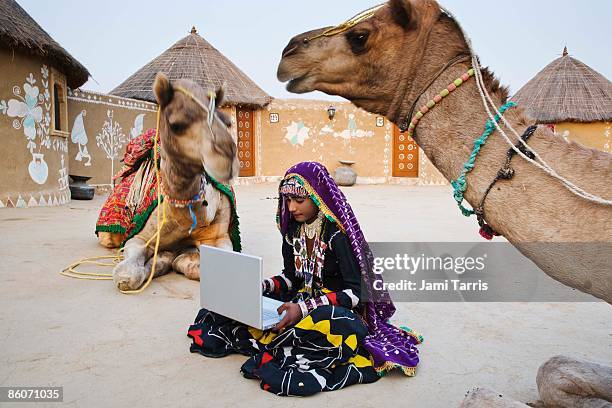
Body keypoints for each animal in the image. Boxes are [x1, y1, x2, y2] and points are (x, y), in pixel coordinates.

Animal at [103, 72, 239, 290]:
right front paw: (158, 260)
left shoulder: (218, 237)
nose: (228, 159)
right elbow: (127, 275)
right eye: (177, 125)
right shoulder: (138, 237)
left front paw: (175, 258)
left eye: (227, 123)